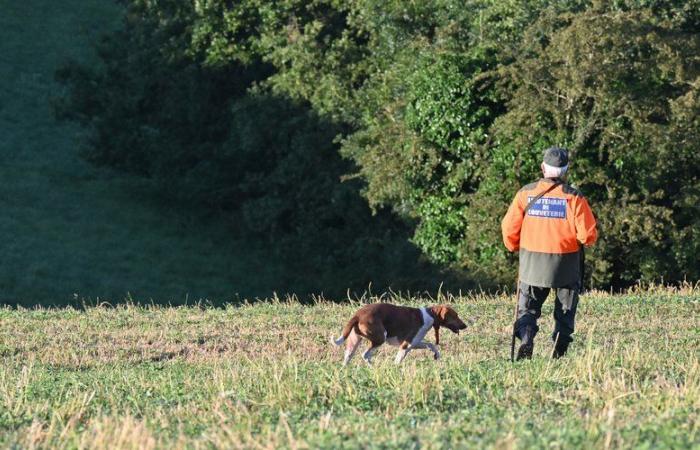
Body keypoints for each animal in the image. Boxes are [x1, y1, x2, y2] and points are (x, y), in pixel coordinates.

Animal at [330, 304, 468, 364]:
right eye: (455, 315)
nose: (465, 325)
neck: (430, 315)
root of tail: (357, 315)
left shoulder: (415, 343)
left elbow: (431, 345)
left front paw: (436, 355)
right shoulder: (406, 345)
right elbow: (398, 360)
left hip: (353, 343)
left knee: (348, 357)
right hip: (380, 338)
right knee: (365, 355)